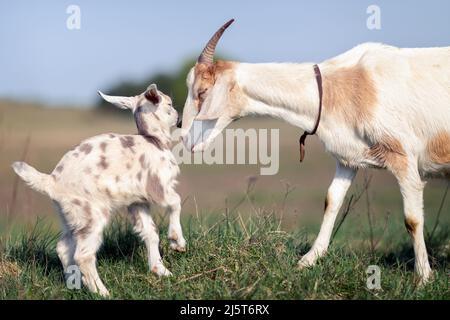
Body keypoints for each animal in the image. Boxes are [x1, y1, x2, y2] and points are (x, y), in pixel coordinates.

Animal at [180, 19, 450, 284]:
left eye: (202, 92)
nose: (184, 138)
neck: (344, 85)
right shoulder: (348, 160)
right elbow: (332, 201)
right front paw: (309, 260)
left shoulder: (403, 157)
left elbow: (412, 219)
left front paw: (423, 277)